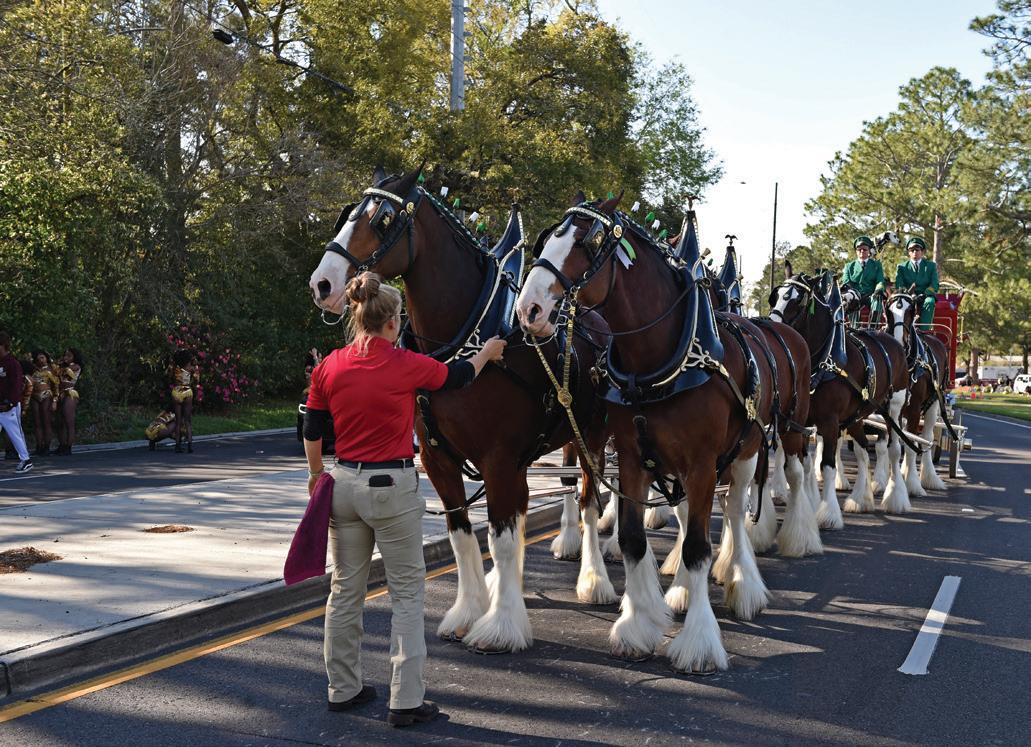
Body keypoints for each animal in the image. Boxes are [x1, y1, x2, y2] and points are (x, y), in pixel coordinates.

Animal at [308, 167, 616, 654]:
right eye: (348, 212)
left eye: (382, 219)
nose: (323, 284)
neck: (467, 342)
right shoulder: (440, 460)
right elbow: (462, 533)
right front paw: (471, 610)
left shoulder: (499, 459)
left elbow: (501, 537)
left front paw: (502, 626)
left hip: (594, 439)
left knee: (588, 500)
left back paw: (594, 580)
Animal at [516, 192, 777, 673]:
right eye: (547, 238)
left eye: (588, 241)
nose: (529, 310)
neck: (658, 362)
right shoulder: (634, 458)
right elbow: (634, 540)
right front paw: (636, 626)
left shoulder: (702, 465)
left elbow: (699, 547)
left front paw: (698, 643)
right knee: (689, 515)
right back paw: (681, 591)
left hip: (747, 451)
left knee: (734, 514)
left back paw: (743, 583)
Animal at [770, 266, 911, 522]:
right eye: (775, 296)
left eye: (798, 300)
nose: (770, 327)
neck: (825, 359)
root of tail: (893, 340)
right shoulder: (804, 420)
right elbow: (806, 463)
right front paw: (810, 503)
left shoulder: (829, 421)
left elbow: (826, 466)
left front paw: (828, 513)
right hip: (856, 416)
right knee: (863, 450)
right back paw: (861, 500)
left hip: (893, 408)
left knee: (894, 450)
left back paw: (896, 498)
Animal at [885, 291, 951, 495]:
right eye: (888, 311)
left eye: (910, 311)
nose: (898, 342)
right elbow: (898, 442)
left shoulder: (915, 410)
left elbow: (912, 444)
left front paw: (912, 483)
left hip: (934, 403)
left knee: (926, 438)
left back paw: (929, 477)